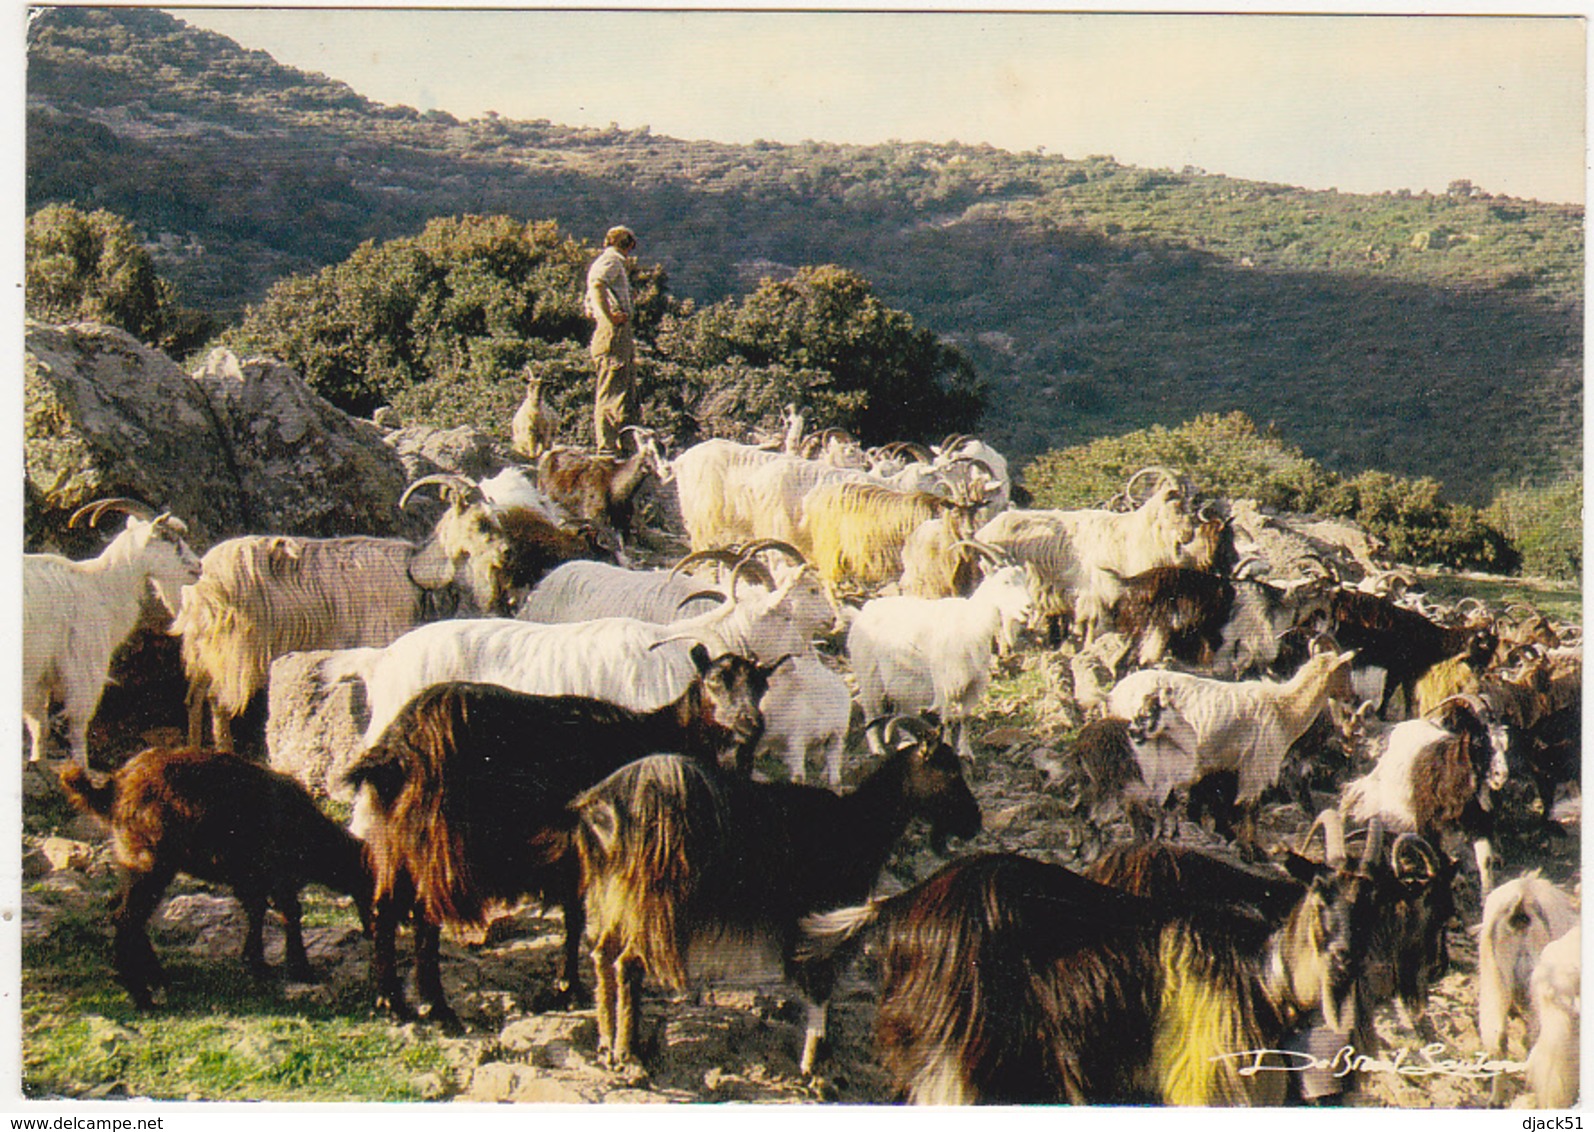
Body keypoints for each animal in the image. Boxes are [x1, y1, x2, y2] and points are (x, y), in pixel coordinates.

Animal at [22, 507, 202, 771]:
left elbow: (38, 724)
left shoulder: (38, 676)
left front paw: (38, 762)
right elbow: (77, 723)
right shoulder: (83, 666)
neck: (101, 585)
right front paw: (82, 769)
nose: (199, 566)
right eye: (170, 538)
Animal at [58, 752, 369, 1014]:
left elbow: (256, 911)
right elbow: (290, 914)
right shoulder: (278, 874)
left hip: (132, 862)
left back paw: (156, 977)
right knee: (126, 917)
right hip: (151, 863)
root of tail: (116, 786)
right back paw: (143, 997)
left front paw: (256, 962)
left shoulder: (249, 878)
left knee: (123, 912)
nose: (371, 932)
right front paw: (300, 969)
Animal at [345, 647, 781, 1026]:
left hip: (395, 840)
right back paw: (435, 1006)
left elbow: (574, 916)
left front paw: (567, 986)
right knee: (424, 917)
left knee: (384, 908)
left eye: (762, 686)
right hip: (436, 843)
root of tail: (397, 748)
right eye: (715, 681)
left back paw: (392, 1002)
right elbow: (582, 919)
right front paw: (574, 986)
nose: (750, 725)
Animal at [848, 564, 1032, 758]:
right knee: (870, 713)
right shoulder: (945, 684)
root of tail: (860, 615)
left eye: (1025, 580)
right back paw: (878, 749)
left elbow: (965, 718)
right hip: (868, 675)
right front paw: (948, 747)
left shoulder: (972, 684)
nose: (1028, 606)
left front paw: (966, 752)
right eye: (1005, 582)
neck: (970, 625)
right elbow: (948, 720)